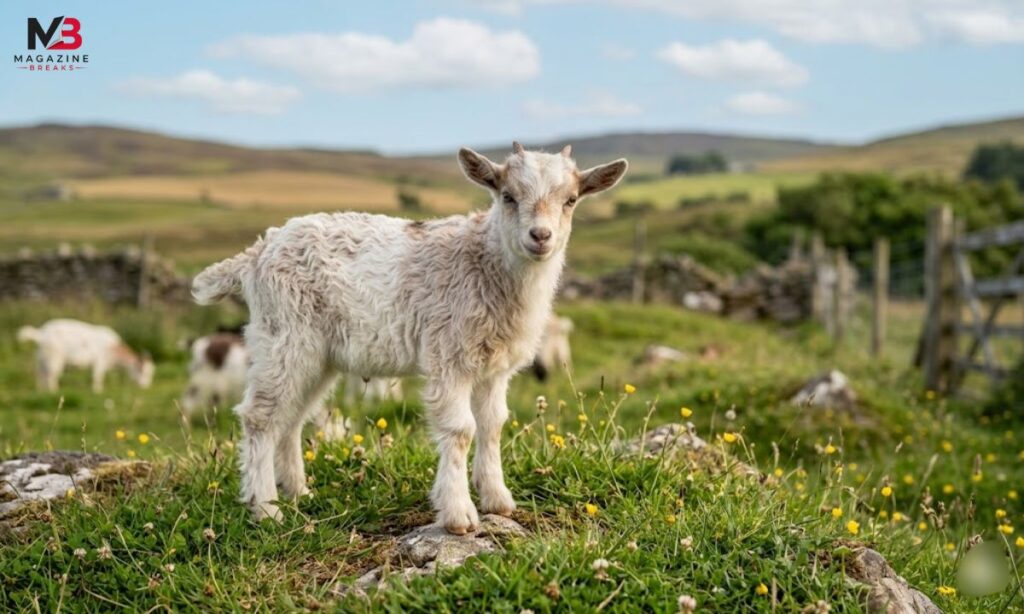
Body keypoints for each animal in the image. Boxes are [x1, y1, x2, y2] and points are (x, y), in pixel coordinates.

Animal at [17, 319, 154, 393]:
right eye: (143, 371)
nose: (145, 387)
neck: (113, 349)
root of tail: (41, 333)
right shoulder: (99, 363)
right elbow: (97, 377)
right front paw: (97, 391)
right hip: (54, 358)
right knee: (51, 375)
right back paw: (53, 391)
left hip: (40, 358)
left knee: (40, 374)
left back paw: (40, 390)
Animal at [192, 142, 627, 532]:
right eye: (508, 196)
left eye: (571, 200)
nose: (540, 236)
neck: (485, 262)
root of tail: (258, 251)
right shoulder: (449, 355)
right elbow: (461, 430)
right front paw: (459, 515)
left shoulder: (493, 367)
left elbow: (493, 425)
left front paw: (497, 499)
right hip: (285, 336)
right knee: (261, 416)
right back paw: (266, 508)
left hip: (318, 355)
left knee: (293, 419)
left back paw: (299, 493)